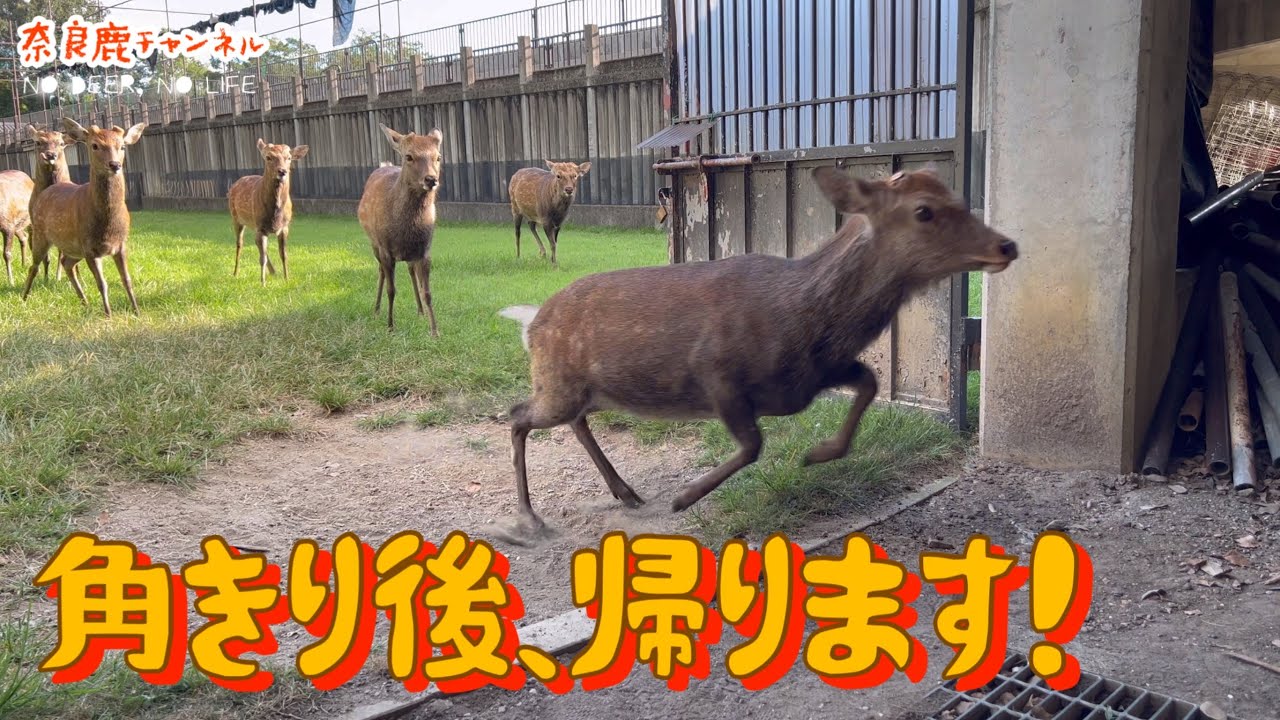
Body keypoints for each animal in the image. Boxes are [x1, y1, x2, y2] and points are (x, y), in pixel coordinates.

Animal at [26, 124, 74, 283]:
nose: (50, 155)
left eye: (61, 143)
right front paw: (46, 279)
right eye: (38, 142)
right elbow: (45, 258)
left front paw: (59, 278)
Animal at [228, 139, 309, 285]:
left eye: (289, 158)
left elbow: (284, 255)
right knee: (239, 244)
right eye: (268, 157)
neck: (275, 214)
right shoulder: (261, 227)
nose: (282, 171)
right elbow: (262, 258)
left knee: (256, 245)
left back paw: (273, 271)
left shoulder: (284, 227)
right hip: (236, 217)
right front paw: (263, 283)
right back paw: (235, 273)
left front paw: (287, 279)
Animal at [359, 125, 443, 333]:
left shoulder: (425, 250)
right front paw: (390, 326)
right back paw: (376, 310)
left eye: (438, 157)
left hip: (409, 254)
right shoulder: (385, 248)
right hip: (374, 243)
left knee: (411, 271)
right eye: (409, 156)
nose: (431, 179)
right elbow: (392, 290)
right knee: (380, 271)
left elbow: (427, 292)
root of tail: (384, 165)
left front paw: (435, 331)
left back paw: (420, 311)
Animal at [497, 166, 1019, 543]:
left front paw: (820, 453)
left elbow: (869, 382)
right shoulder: (716, 372)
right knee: (517, 415)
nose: (1007, 245)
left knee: (572, 420)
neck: (804, 319)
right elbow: (753, 445)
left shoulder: (813, 376)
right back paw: (529, 517)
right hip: (558, 382)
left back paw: (625, 492)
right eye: (924, 211)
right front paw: (685, 498)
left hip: (585, 389)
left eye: (959, 198)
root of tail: (531, 321)